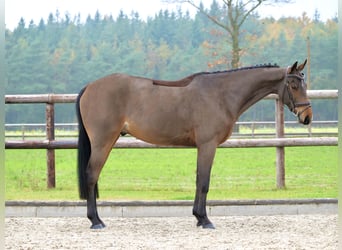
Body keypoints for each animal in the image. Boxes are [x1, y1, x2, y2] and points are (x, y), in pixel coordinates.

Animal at [76, 59, 312, 229]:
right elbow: (204, 181)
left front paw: (198, 218)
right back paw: (96, 221)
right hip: (103, 142)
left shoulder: (203, 147)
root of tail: (90, 87)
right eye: (293, 85)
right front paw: (205, 220)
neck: (220, 94)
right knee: (91, 175)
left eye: (305, 84)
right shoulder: (208, 145)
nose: (307, 117)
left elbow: (199, 180)